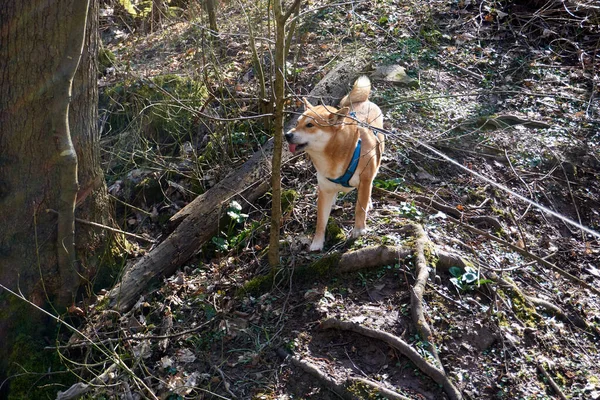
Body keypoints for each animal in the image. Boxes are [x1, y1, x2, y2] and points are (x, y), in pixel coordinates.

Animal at [284, 76, 384, 252]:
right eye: (297, 123)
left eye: (310, 125)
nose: (287, 135)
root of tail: (363, 101)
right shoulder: (324, 190)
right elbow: (321, 221)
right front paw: (317, 243)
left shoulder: (364, 180)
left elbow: (360, 208)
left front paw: (359, 229)